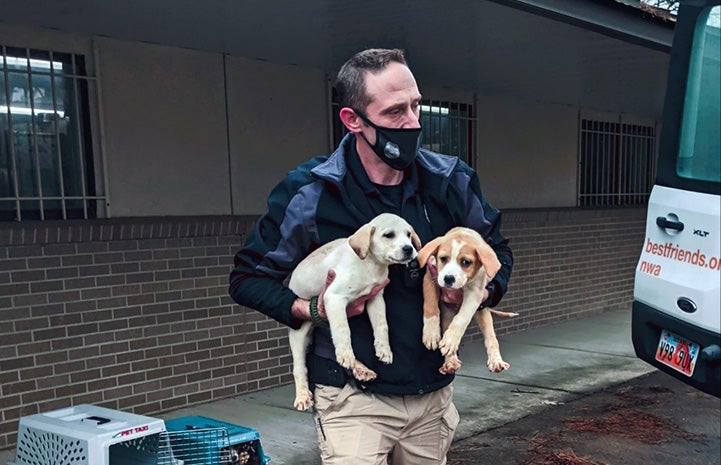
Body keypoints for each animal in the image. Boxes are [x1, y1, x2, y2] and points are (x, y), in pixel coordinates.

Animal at [286, 212, 422, 408]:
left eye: (409, 234)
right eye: (389, 235)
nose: (409, 249)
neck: (370, 265)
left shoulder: (376, 297)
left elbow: (382, 325)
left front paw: (384, 349)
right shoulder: (334, 298)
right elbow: (343, 330)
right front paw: (346, 353)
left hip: (328, 322)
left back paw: (361, 368)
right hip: (300, 333)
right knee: (299, 368)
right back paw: (303, 396)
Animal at [420, 227, 516, 376]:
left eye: (466, 262)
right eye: (443, 259)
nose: (448, 279)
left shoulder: (475, 293)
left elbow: (462, 317)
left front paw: (451, 339)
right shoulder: (430, 278)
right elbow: (430, 307)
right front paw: (431, 334)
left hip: (483, 313)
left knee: (491, 339)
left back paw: (496, 361)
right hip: (447, 314)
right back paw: (451, 362)